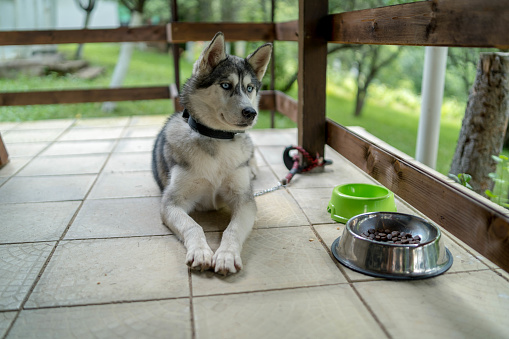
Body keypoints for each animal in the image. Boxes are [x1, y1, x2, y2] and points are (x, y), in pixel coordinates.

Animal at [151, 32, 272, 276]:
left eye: (249, 88)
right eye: (226, 85)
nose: (251, 112)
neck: (217, 139)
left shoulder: (245, 201)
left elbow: (232, 229)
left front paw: (226, 255)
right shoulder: (172, 202)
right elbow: (193, 226)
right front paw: (200, 252)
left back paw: (253, 167)